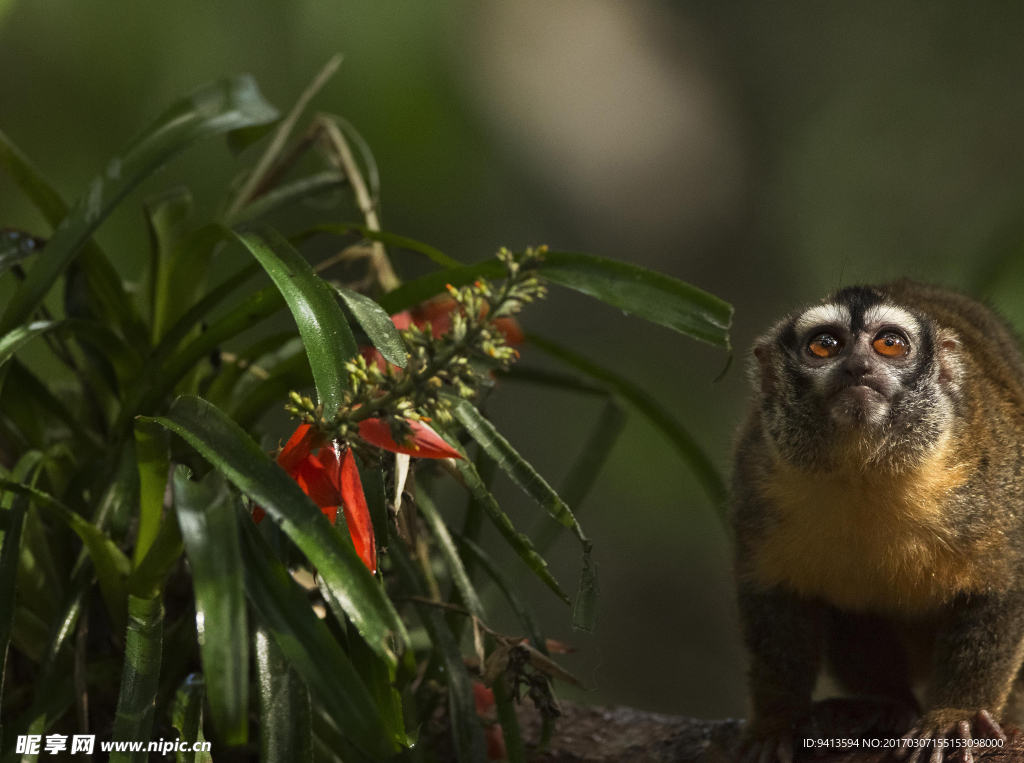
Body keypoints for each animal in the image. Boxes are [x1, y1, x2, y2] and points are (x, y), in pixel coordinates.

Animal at [733, 280, 1024, 761]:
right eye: (824, 346)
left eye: (890, 344)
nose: (858, 366)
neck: (864, 469)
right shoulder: (756, 477)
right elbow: (772, 594)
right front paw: (777, 722)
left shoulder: (992, 476)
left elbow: (1006, 585)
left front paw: (956, 714)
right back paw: (884, 705)